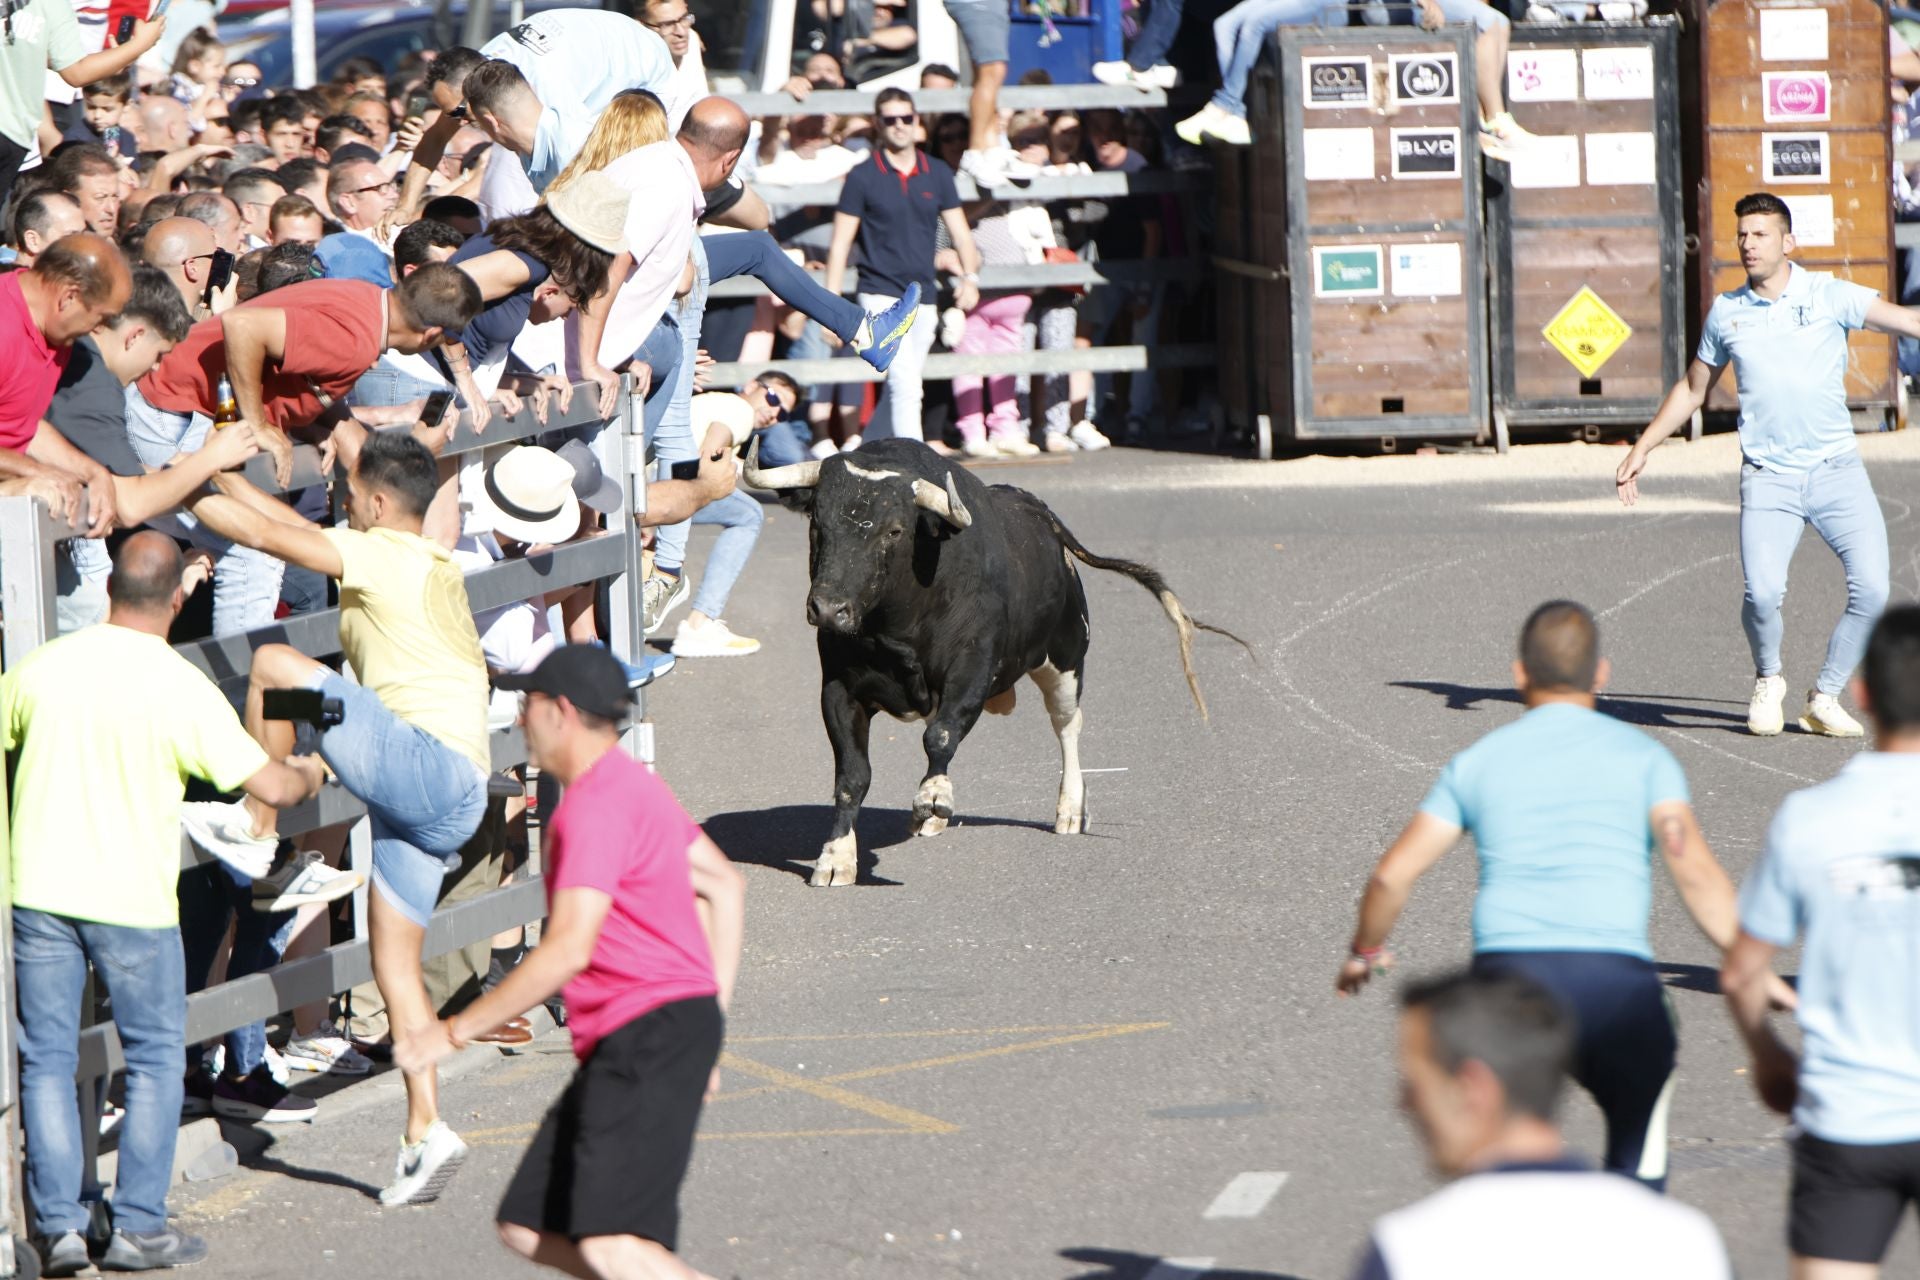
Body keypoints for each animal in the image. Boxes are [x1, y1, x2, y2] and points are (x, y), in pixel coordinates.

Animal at [733, 435, 1244, 886]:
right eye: (818, 524)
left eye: (894, 530)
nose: (828, 609)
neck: (897, 626)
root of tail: (1041, 515)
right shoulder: (839, 690)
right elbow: (852, 777)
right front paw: (836, 858)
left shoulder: (973, 669)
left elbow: (940, 734)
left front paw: (933, 798)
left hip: (1066, 657)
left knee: (1067, 727)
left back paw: (1069, 809)